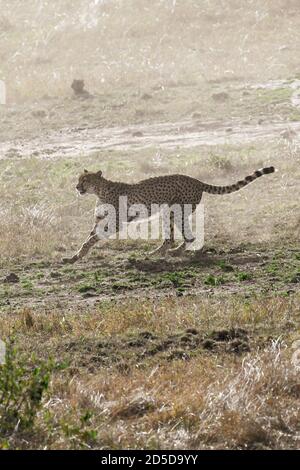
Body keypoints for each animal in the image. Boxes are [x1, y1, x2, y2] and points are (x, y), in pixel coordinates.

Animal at [62, 166, 274, 264]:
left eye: (85, 180)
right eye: (79, 179)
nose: (77, 187)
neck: (100, 190)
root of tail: (195, 180)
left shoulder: (117, 221)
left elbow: (93, 238)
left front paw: (79, 254)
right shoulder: (100, 219)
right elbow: (90, 236)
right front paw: (74, 257)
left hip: (174, 210)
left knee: (181, 237)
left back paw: (164, 253)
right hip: (170, 212)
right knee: (181, 237)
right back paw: (163, 253)